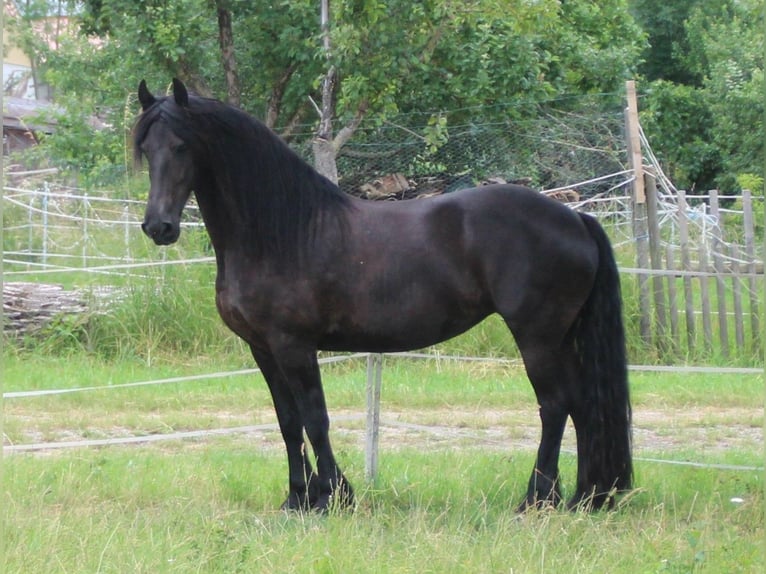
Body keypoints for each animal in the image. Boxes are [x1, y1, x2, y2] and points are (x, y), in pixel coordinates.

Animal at [135, 80, 632, 512]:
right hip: (561, 336)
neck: (283, 233)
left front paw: (332, 498)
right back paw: (585, 498)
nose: (159, 226)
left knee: (555, 405)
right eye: (146, 149)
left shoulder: (294, 345)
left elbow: (315, 418)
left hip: (537, 336)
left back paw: (536, 500)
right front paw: (297, 498)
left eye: (181, 146)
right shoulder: (263, 348)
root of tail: (575, 218)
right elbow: (288, 422)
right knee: (582, 405)